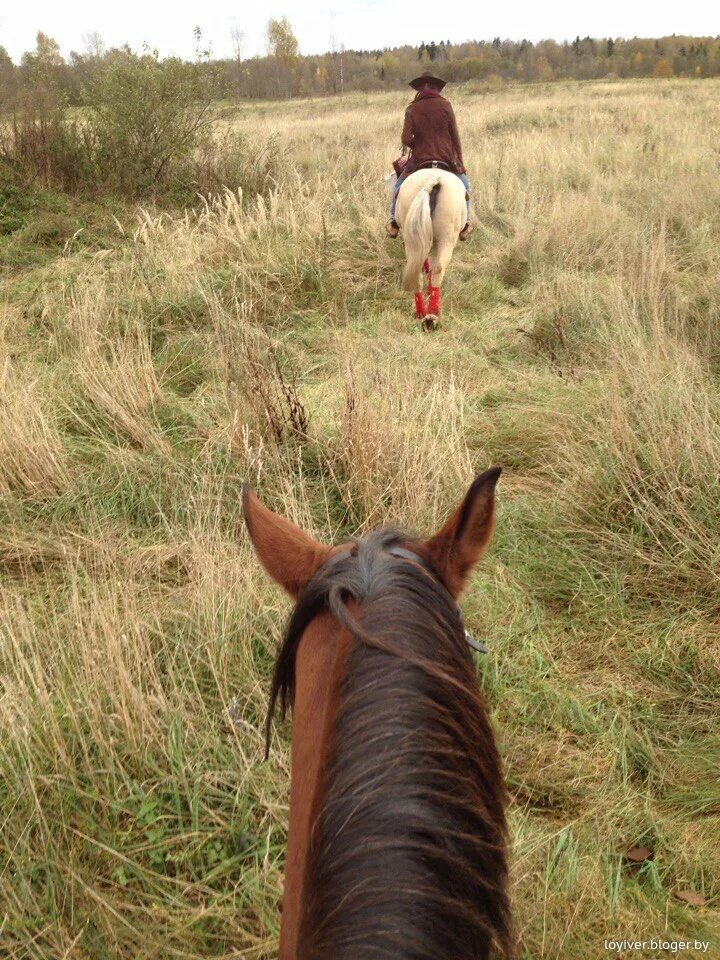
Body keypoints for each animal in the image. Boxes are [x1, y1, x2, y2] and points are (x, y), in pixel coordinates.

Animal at [394, 172, 466, 334]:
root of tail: (433, 179)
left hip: (411, 238)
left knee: (418, 272)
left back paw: (422, 313)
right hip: (446, 238)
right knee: (438, 269)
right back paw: (433, 314)